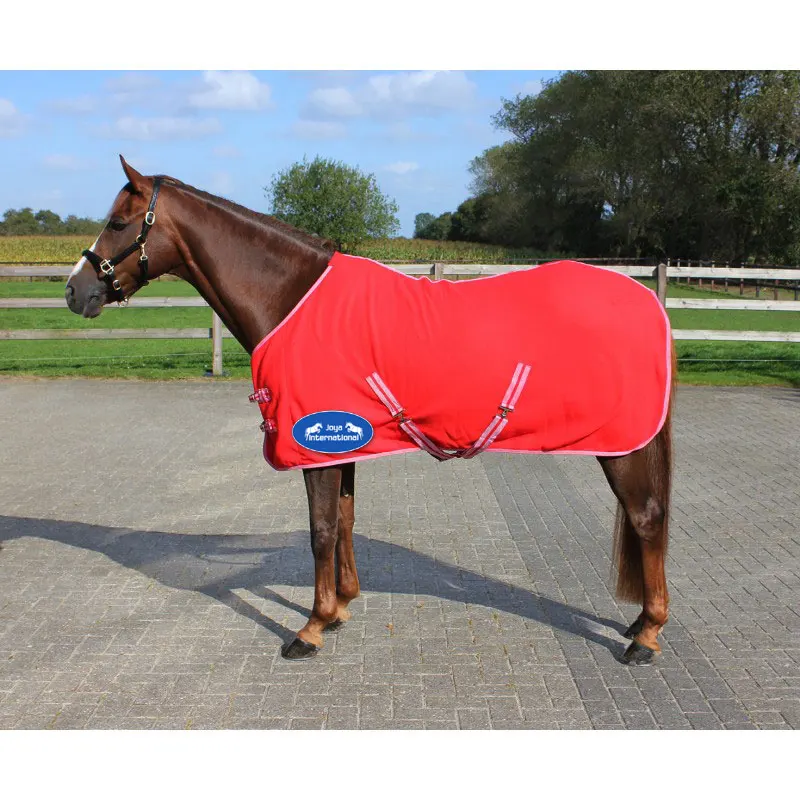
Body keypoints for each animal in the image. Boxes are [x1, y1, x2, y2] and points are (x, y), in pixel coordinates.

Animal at [65, 156, 675, 665]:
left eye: (118, 223)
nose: (75, 291)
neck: (292, 298)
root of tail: (647, 301)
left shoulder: (312, 446)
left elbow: (320, 530)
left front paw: (310, 628)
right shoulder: (341, 442)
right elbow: (345, 521)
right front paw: (339, 609)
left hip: (621, 445)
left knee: (646, 518)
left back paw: (645, 636)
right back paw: (639, 624)